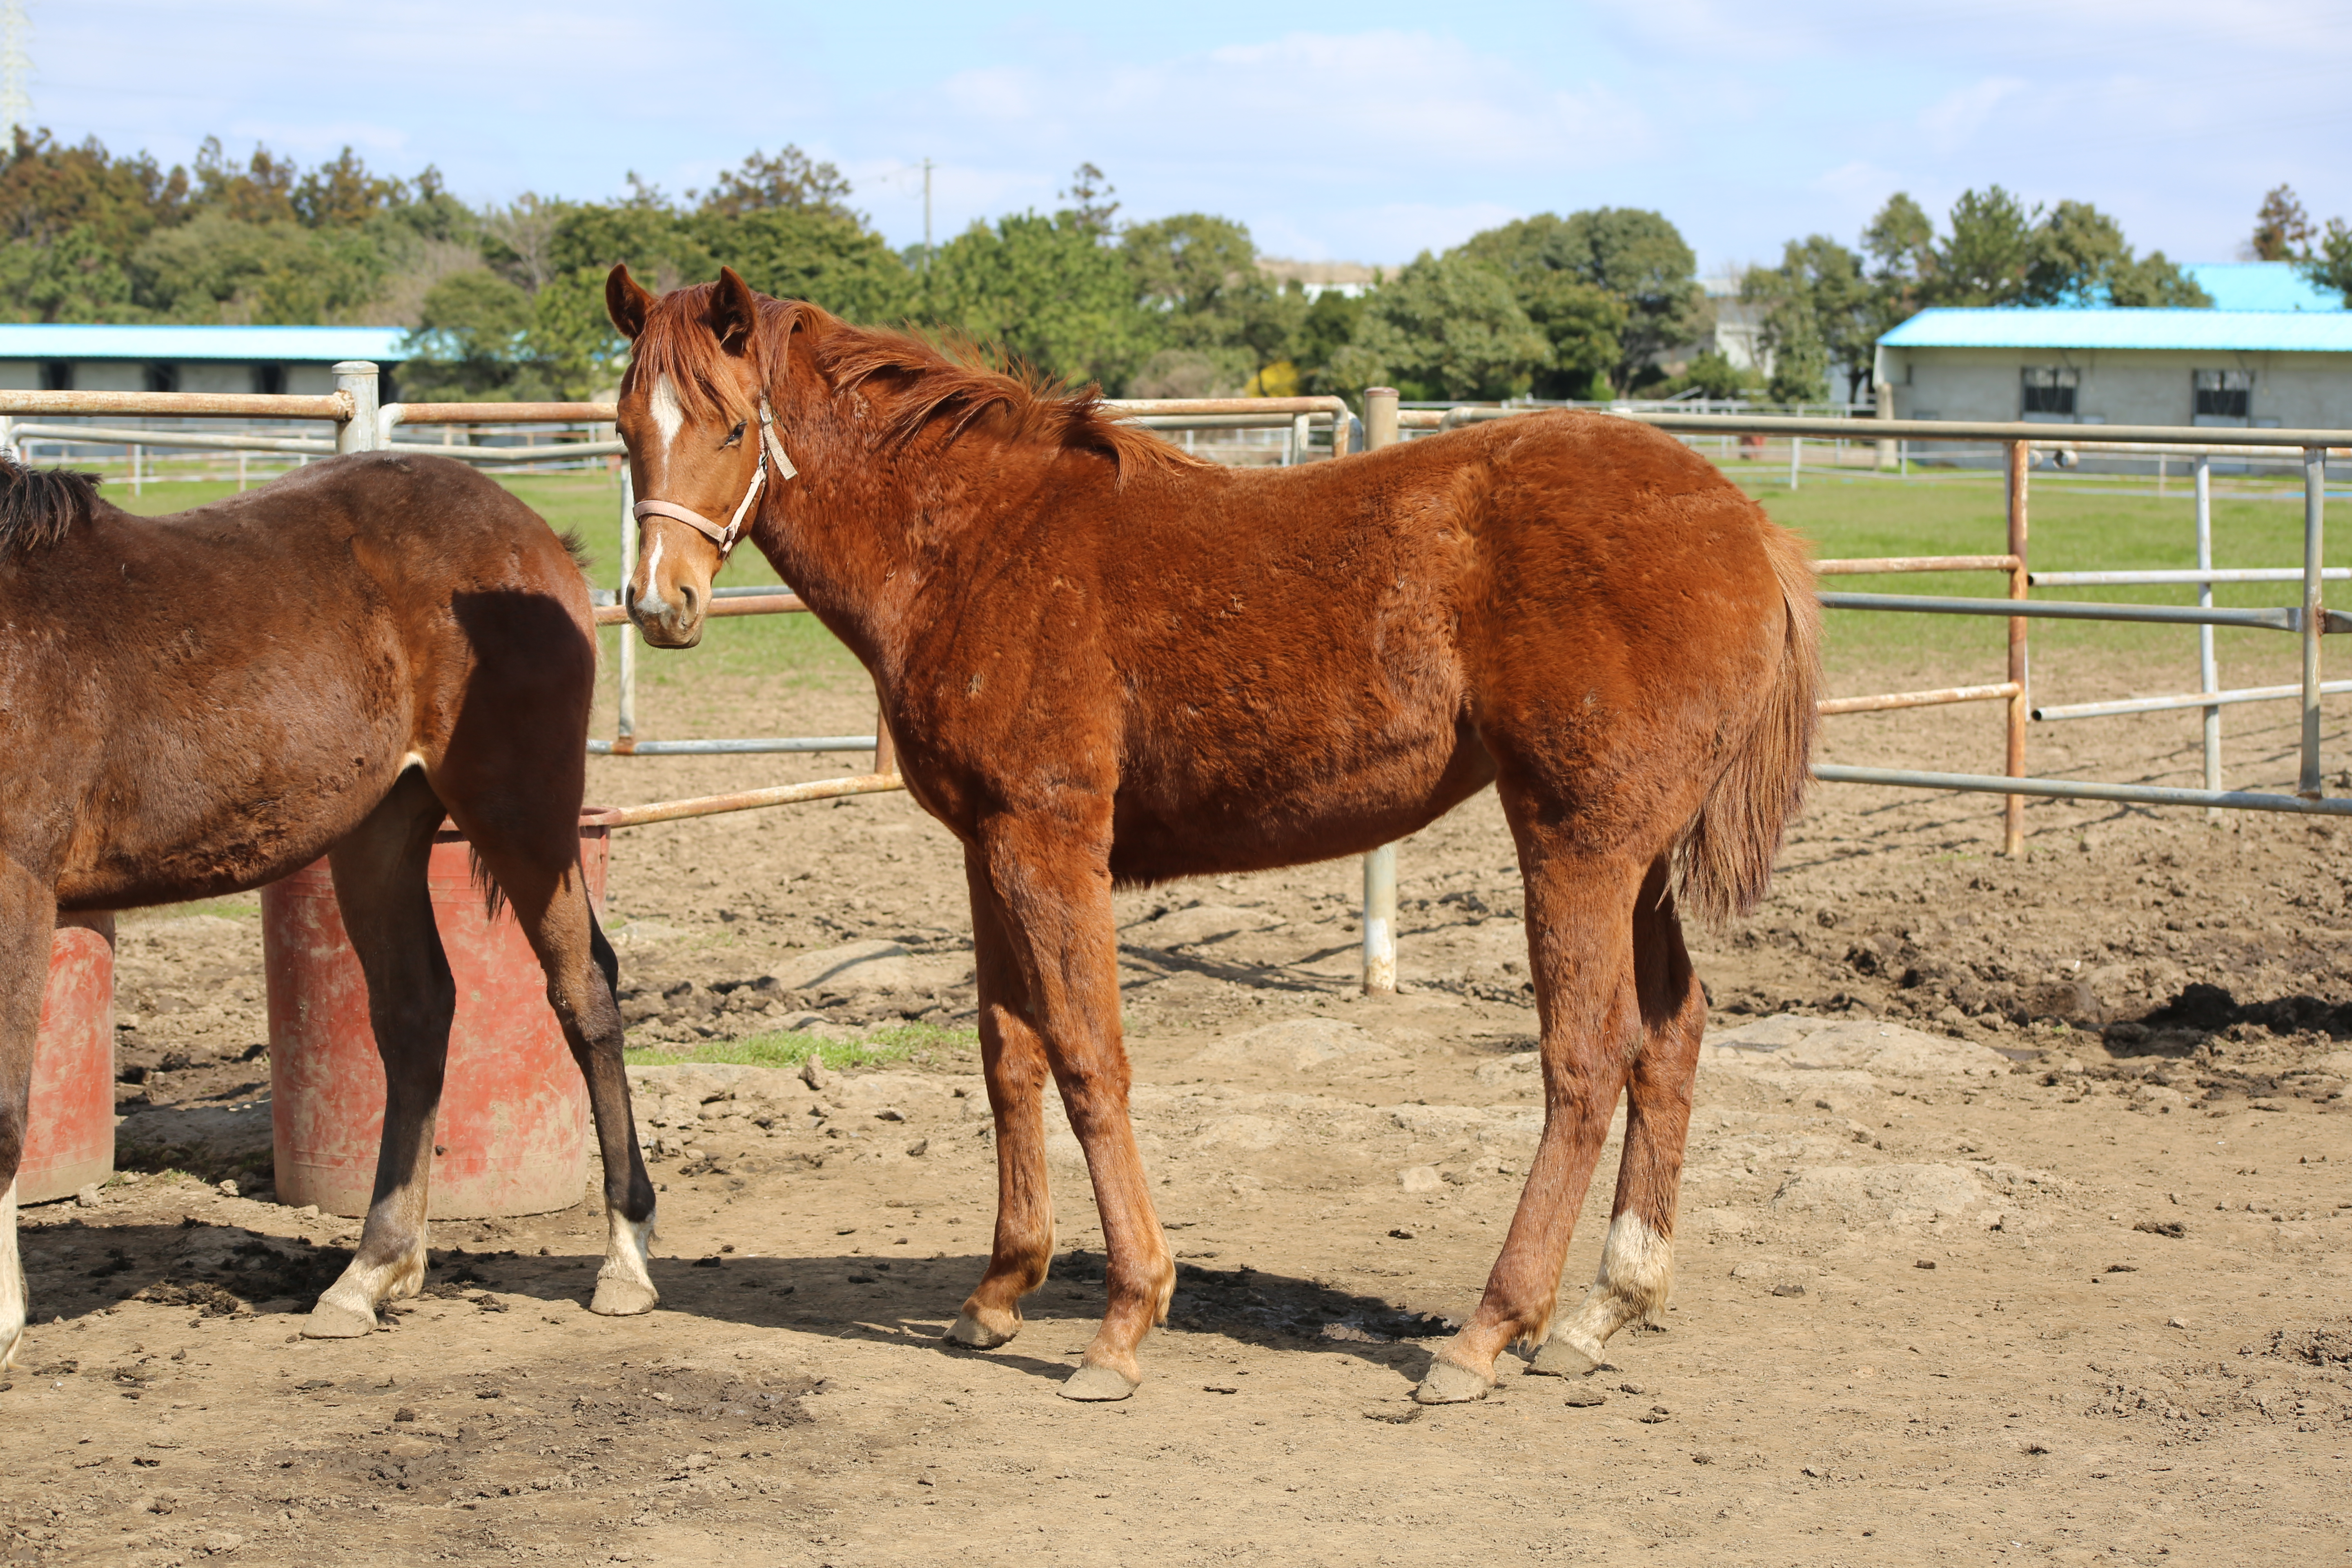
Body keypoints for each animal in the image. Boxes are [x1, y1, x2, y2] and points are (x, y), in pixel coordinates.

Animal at [2, 446, 663, 1363]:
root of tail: (533, 536)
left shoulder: (20, 880)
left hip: (521, 812)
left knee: (585, 994)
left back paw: (624, 1264)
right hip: (378, 833)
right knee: (419, 1012)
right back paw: (373, 1271)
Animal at [607, 263, 1815, 1401]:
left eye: (730, 424)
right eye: (624, 433)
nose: (661, 605)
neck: (976, 545)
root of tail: (1748, 523)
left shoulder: (1050, 840)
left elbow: (1089, 1057)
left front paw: (1125, 1319)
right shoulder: (986, 848)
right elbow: (1010, 1056)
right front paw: (999, 1291)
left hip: (1578, 845)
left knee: (1588, 1054)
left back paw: (1487, 1331)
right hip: (1637, 859)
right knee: (1670, 1034)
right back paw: (1604, 1307)